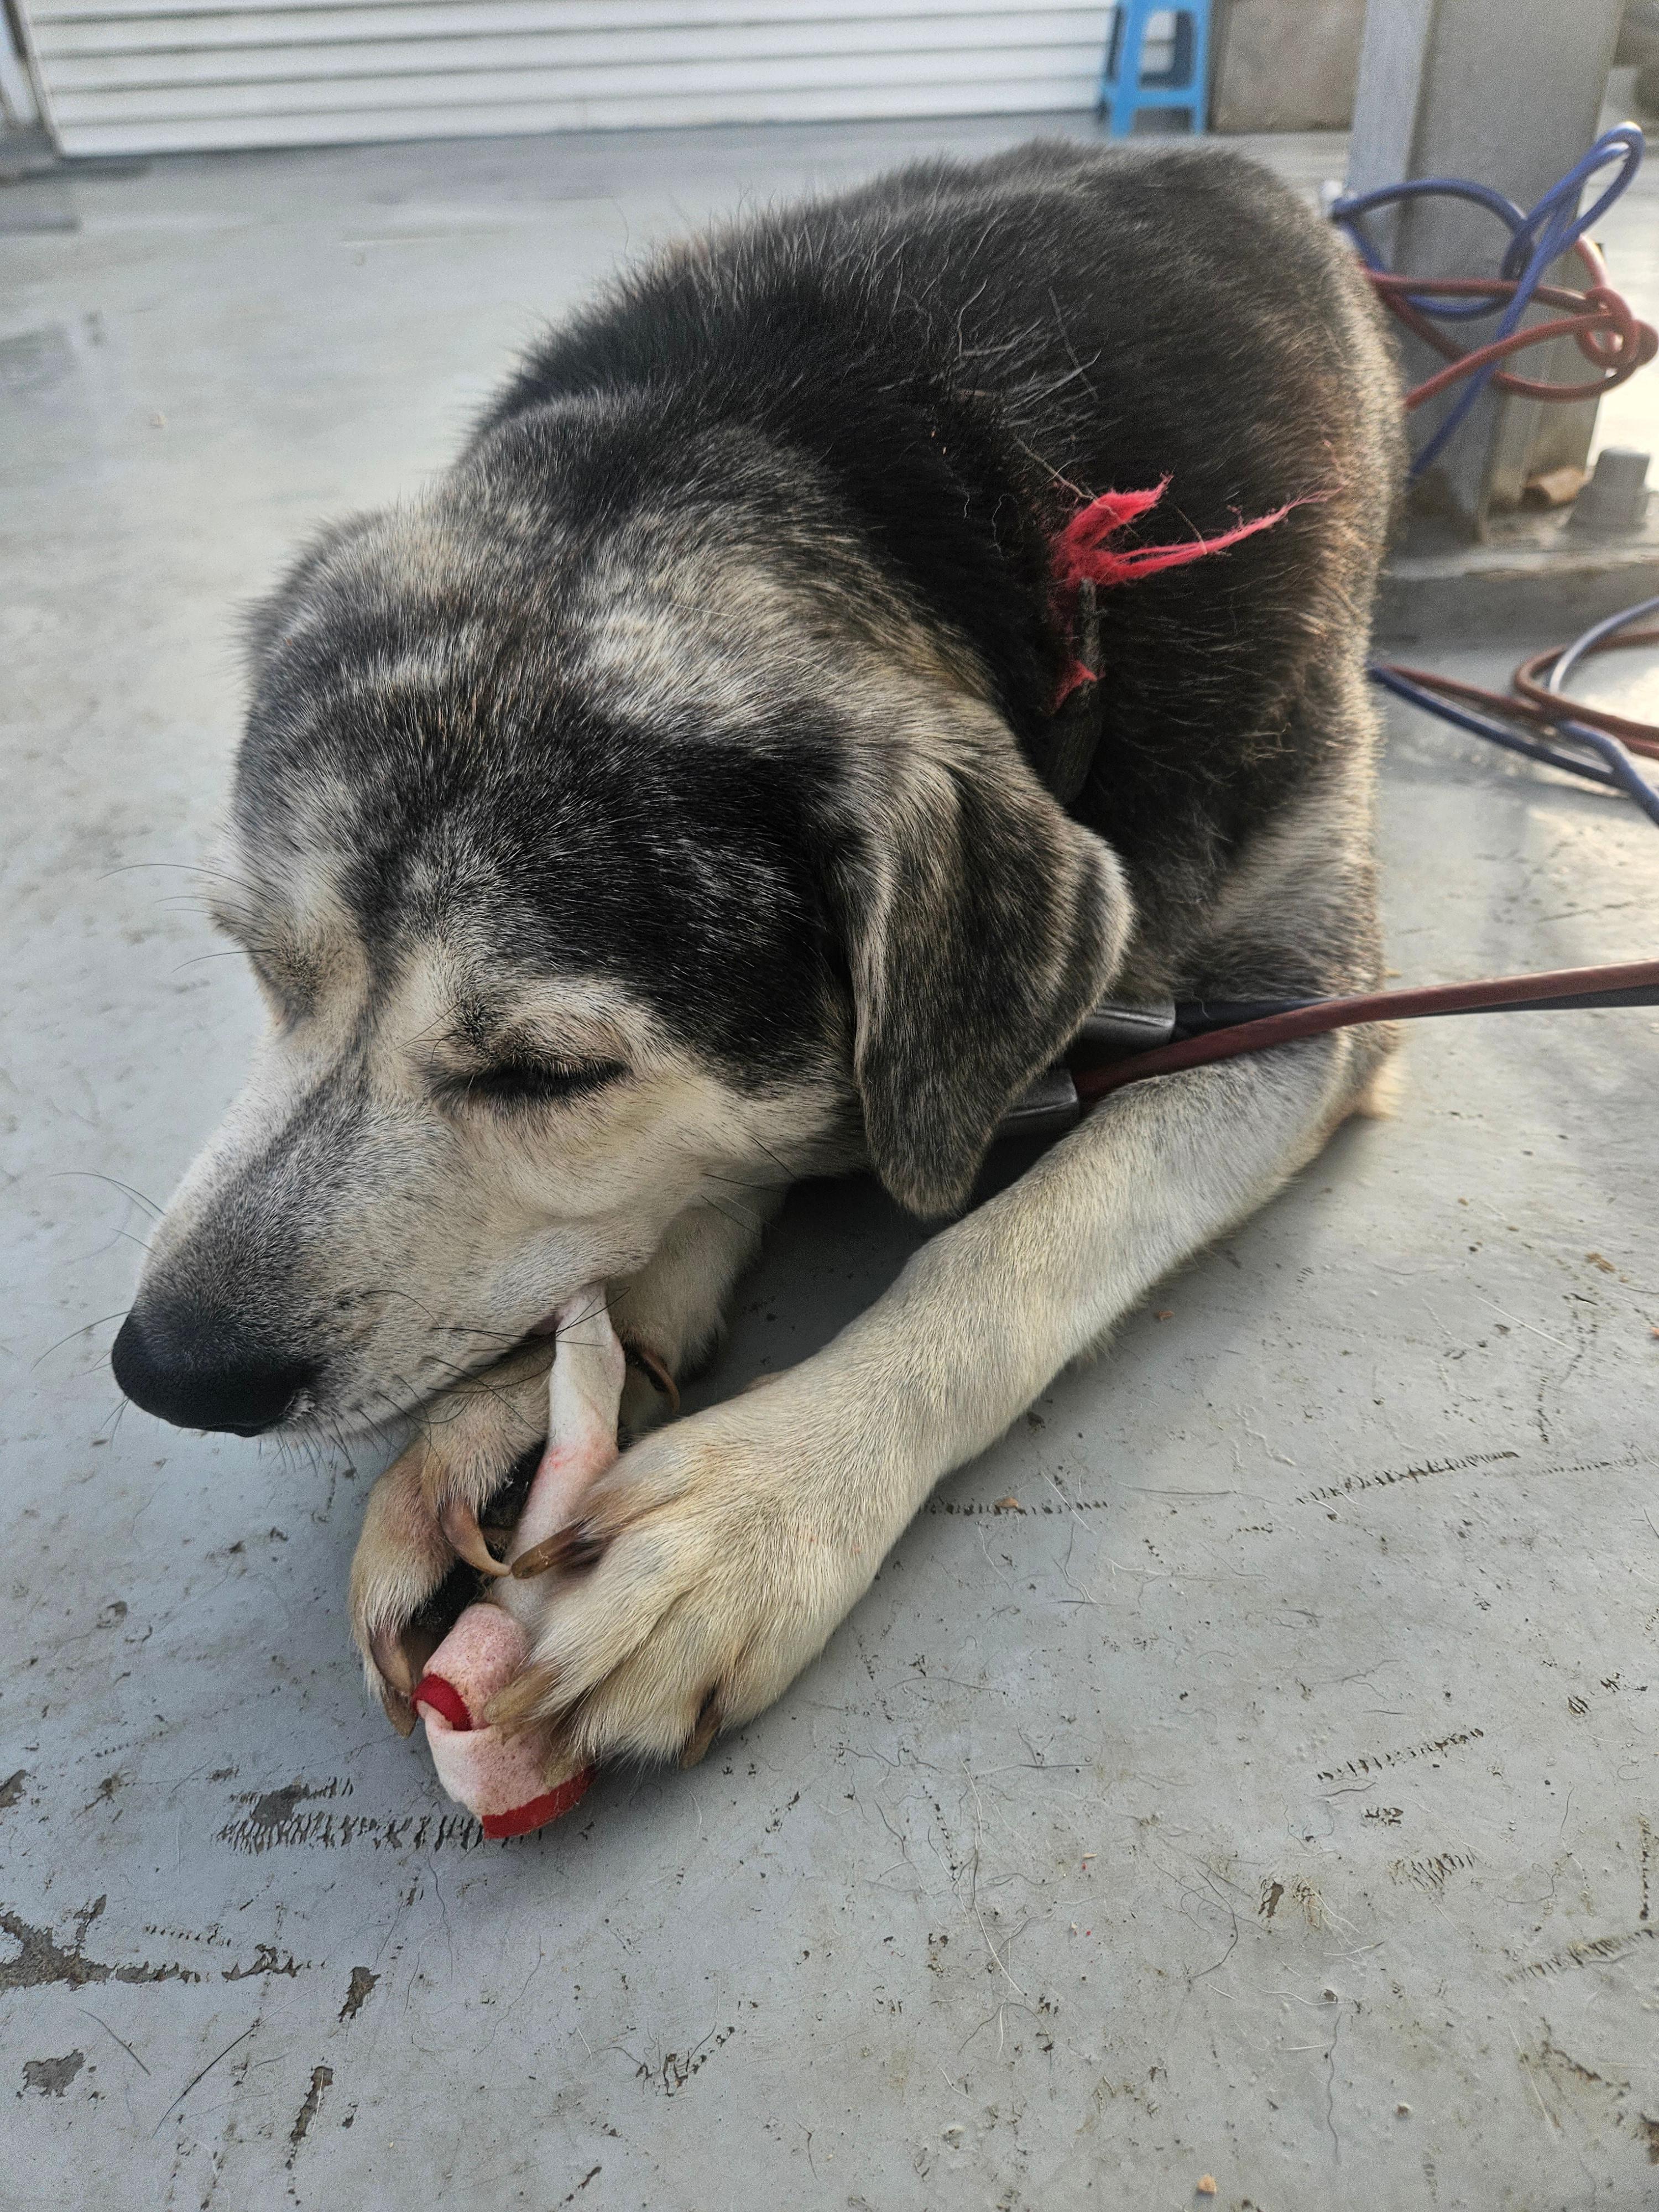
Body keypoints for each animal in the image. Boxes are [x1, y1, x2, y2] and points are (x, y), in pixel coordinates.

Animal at [112, 138, 1403, 1769]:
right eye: (264, 970)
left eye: (550, 1073)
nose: (168, 1371)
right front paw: (528, 1399)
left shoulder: (1304, 1001)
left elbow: (1015, 1237)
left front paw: (755, 1508)